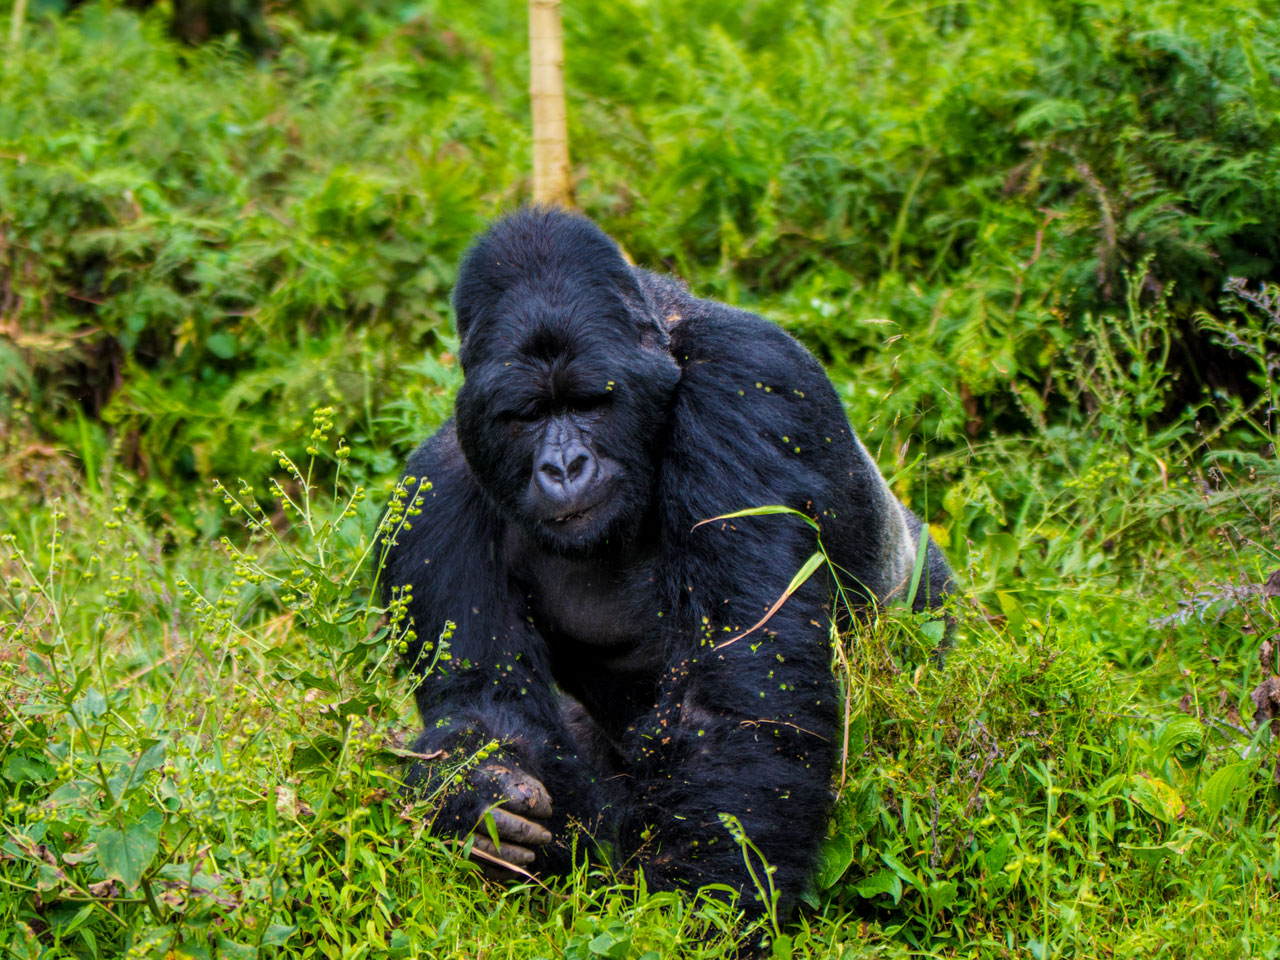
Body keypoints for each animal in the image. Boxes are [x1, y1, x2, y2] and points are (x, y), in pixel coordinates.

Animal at [378, 208, 952, 916]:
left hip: (929, 600)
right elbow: (483, 702)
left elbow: (741, 680)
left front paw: (706, 906)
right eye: (527, 415)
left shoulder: (746, 384)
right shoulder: (431, 493)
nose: (564, 467)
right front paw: (478, 795)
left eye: (591, 402)